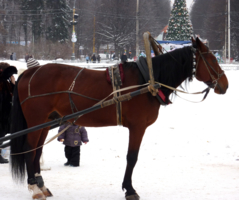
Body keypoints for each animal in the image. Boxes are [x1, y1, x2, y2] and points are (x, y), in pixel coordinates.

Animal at [10, 38, 229, 200]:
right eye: (211, 59)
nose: (225, 84)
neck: (146, 81)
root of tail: (29, 72)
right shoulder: (138, 127)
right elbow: (132, 157)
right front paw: (129, 189)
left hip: (45, 123)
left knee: (36, 151)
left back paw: (41, 185)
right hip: (37, 122)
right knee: (29, 150)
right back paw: (35, 188)